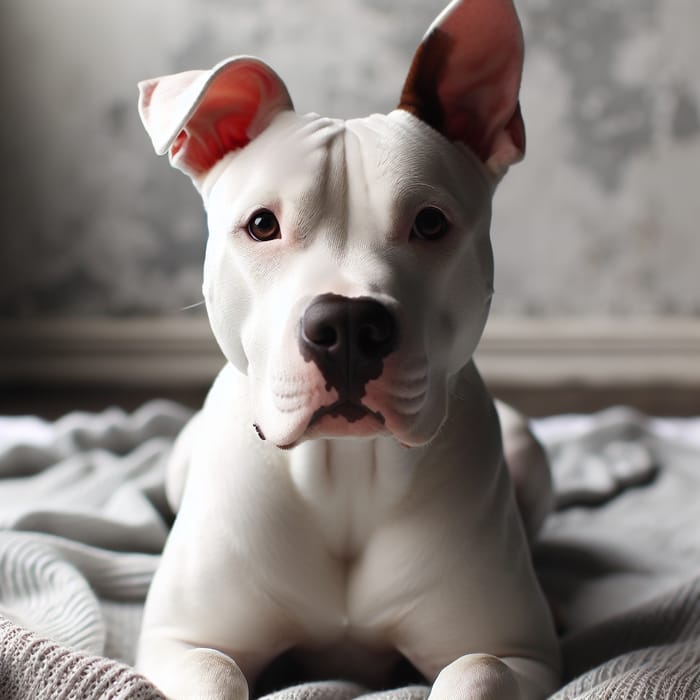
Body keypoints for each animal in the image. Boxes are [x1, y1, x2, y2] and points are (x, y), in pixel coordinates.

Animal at [137, 1, 560, 700]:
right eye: (262, 224)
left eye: (430, 223)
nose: (348, 325)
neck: (345, 476)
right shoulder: (180, 643)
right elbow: (216, 673)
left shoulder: (522, 654)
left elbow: (480, 670)